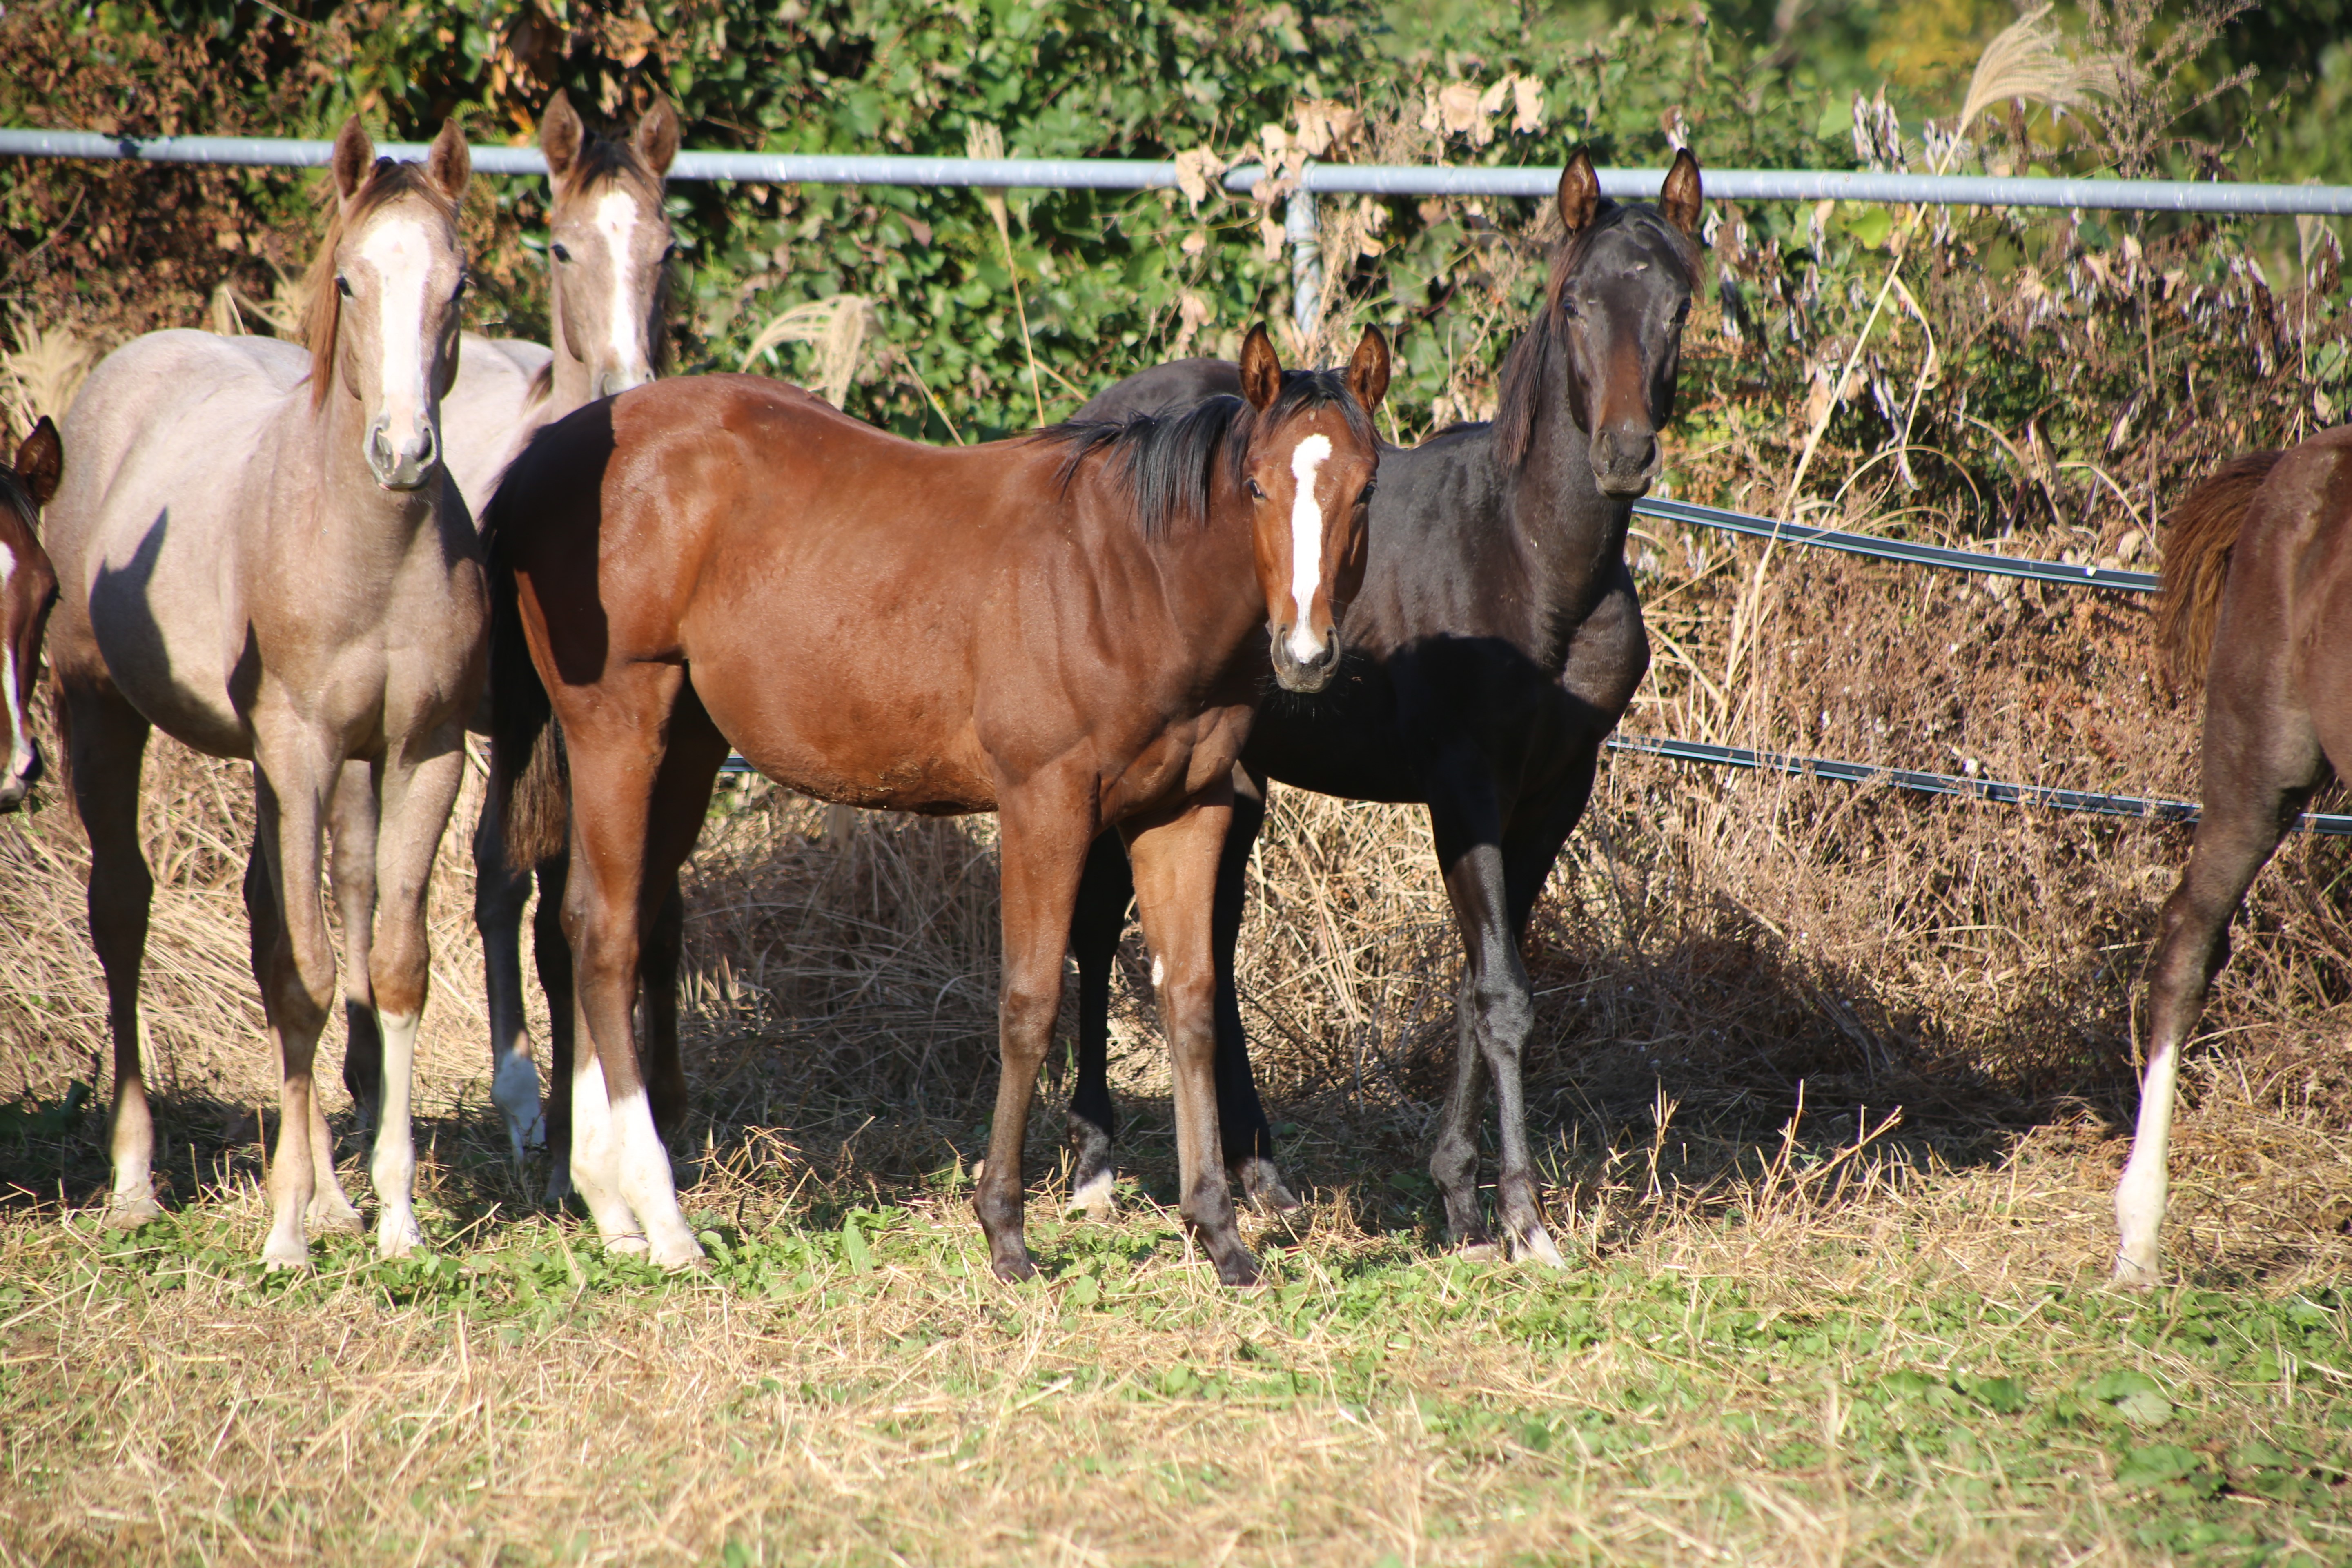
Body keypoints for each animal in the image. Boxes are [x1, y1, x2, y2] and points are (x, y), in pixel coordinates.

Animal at [45, 126, 487, 1278]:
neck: (368, 549)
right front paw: (285, 1232)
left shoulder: (421, 753)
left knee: (273, 920)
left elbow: (389, 970)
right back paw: (137, 1182)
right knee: (123, 908)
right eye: (350, 279)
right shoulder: (300, 748)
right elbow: (306, 978)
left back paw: (334, 1195)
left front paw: (393, 1216)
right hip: (98, 712)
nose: (404, 452)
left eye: (459, 285)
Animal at [484, 324, 1383, 1278]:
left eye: (1367, 486)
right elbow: (1029, 1004)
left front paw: (1219, 1233)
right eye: (1256, 485)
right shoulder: (1045, 804)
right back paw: (665, 1221)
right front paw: (1005, 1230)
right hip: (618, 727)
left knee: (590, 922)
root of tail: (546, 455)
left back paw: (609, 1204)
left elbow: (1195, 1003)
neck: (1130, 580)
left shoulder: (1185, 813)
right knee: (608, 936)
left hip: (685, 747)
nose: (1306, 655)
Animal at [1063, 147, 1693, 1269]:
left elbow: (1485, 981)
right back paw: (1096, 1165)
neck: (1529, 560)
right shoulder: (1463, 786)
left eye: (1679, 304)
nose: (1623, 453)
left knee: (1213, 947)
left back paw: (1263, 1176)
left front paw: (1461, 1201)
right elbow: (1499, 994)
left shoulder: (1550, 793)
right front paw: (1524, 1220)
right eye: (1574, 302)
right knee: (1100, 929)